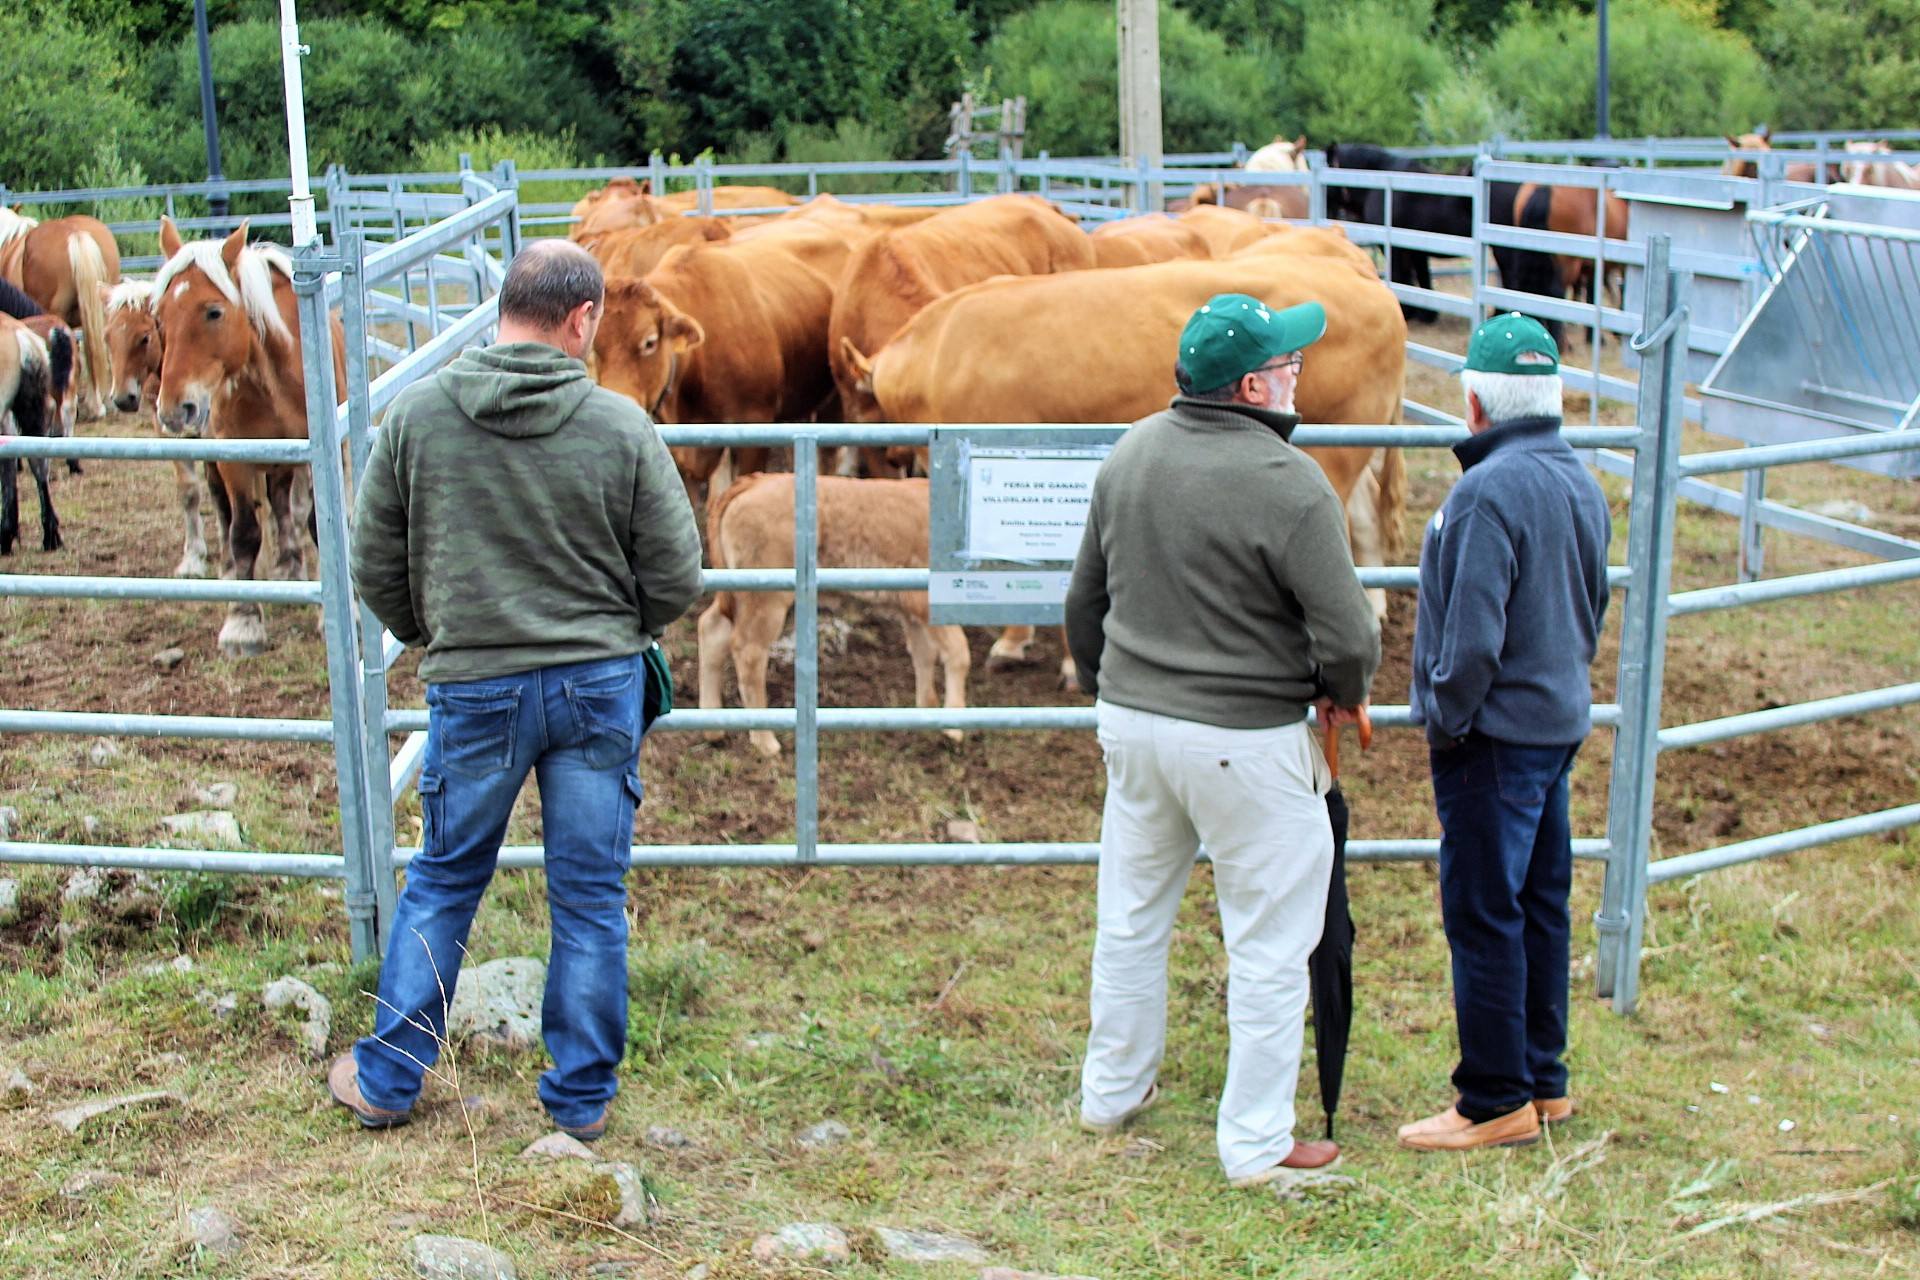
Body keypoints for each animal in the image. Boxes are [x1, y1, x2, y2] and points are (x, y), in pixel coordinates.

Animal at [151, 218, 347, 656]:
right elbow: (243, 533)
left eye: (214, 311)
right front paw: (242, 624)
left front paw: (342, 620)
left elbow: (317, 525)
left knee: (283, 504)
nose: (174, 410)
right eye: (158, 317)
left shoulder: (322, 454)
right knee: (228, 509)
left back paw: (291, 568)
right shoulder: (235, 460)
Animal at [698, 474, 967, 756]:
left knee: (712, 629)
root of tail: (754, 482)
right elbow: (958, 652)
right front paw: (954, 728)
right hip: (766, 600)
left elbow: (924, 654)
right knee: (748, 652)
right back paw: (766, 741)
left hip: (740, 596)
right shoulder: (928, 600)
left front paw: (928, 713)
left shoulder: (911, 609)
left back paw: (714, 730)